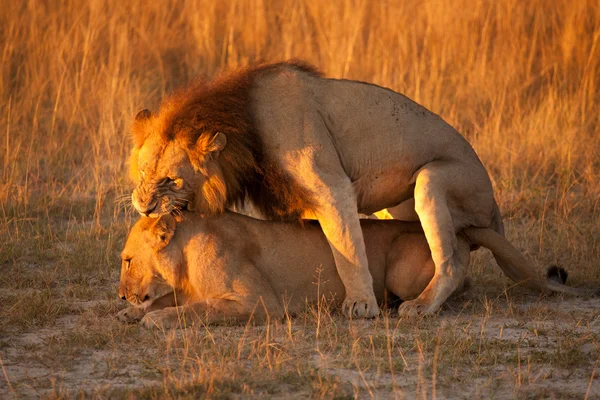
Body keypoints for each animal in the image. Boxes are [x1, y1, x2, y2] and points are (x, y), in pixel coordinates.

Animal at [129, 61, 512, 318]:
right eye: (144, 171)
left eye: (171, 180)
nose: (144, 207)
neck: (244, 131)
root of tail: (494, 206)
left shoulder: (331, 187)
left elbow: (348, 250)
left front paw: (360, 305)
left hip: (434, 178)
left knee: (452, 260)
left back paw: (420, 305)